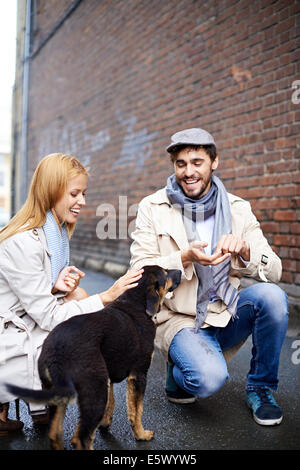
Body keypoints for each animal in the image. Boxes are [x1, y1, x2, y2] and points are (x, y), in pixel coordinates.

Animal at [5, 266, 182, 450]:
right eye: (165, 273)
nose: (180, 271)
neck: (134, 303)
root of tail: (56, 351)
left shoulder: (109, 373)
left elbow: (112, 400)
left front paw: (105, 423)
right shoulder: (138, 374)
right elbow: (136, 410)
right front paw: (141, 434)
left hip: (60, 391)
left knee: (55, 434)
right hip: (95, 389)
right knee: (81, 438)